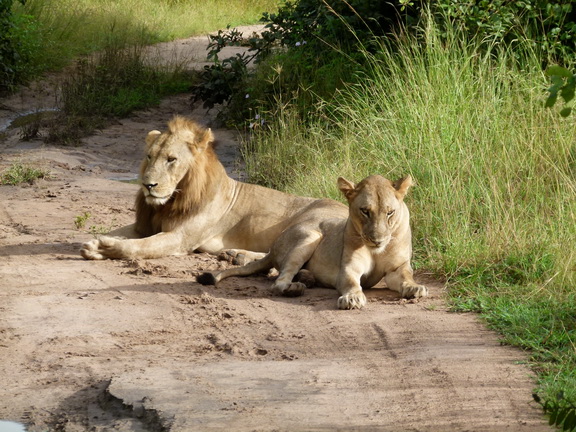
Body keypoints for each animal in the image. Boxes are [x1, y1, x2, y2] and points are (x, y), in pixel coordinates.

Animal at [81, 116, 348, 261]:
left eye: (171, 159)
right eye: (149, 156)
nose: (148, 185)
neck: (170, 202)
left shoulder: (179, 238)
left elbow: (138, 247)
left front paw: (104, 247)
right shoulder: (142, 226)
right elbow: (121, 232)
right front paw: (93, 243)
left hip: (306, 220)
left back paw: (238, 256)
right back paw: (236, 256)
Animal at [197, 174, 428, 309]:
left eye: (390, 213)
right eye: (365, 211)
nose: (377, 239)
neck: (377, 251)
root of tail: (275, 245)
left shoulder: (397, 268)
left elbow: (406, 277)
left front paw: (415, 288)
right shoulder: (349, 268)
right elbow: (351, 282)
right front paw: (352, 298)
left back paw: (306, 278)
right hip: (310, 235)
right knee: (278, 282)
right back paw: (295, 287)